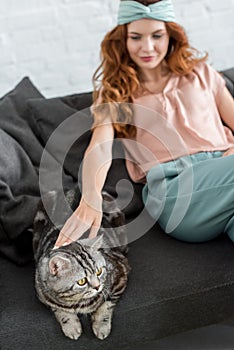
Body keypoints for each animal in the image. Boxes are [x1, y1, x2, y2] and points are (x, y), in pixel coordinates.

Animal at [32, 190, 130, 340]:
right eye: (82, 281)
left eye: (99, 272)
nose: (97, 286)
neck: (75, 301)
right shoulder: (42, 294)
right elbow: (59, 309)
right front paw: (71, 325)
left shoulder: (121, 273)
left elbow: (105, 306)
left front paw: (101, 326)